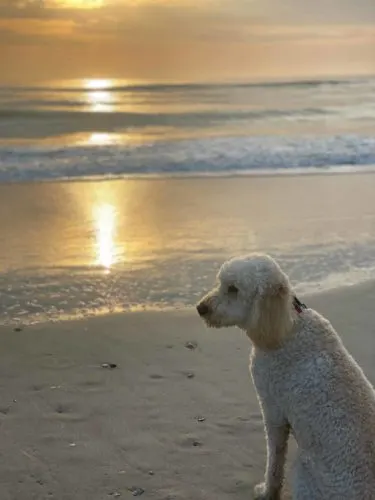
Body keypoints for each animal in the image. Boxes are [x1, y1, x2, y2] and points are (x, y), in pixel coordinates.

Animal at [197, 256, 375, 498]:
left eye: (233, 289)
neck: (287, 326)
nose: (200, 308)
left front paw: (267, 491)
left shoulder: (273, 410)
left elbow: (275, 462)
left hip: (302, 469)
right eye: (221, 282)